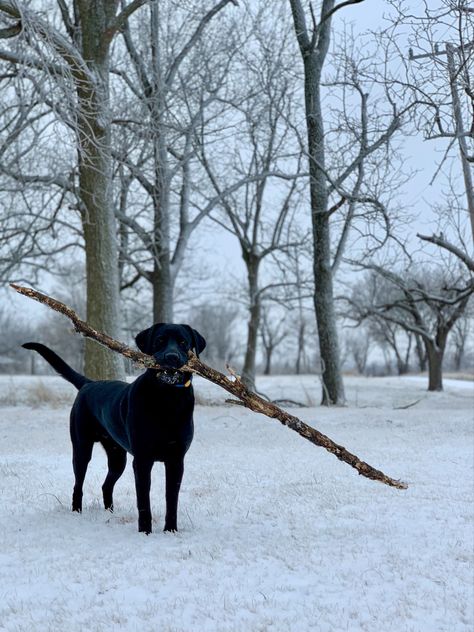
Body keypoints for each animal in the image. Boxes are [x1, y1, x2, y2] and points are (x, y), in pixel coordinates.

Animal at [22, 324, 205, 536]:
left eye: (183, 342)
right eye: (159, 341)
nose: (172, 357)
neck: (168, 400)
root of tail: (89, 383)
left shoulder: (176, 460)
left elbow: (172, 500)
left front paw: (170, 530)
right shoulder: (142, 460)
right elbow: (144, 500)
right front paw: (145, 532)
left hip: (118, 457)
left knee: (106, 485)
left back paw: (110, 513)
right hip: (82, 448)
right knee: (78, 485)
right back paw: (77, 512)